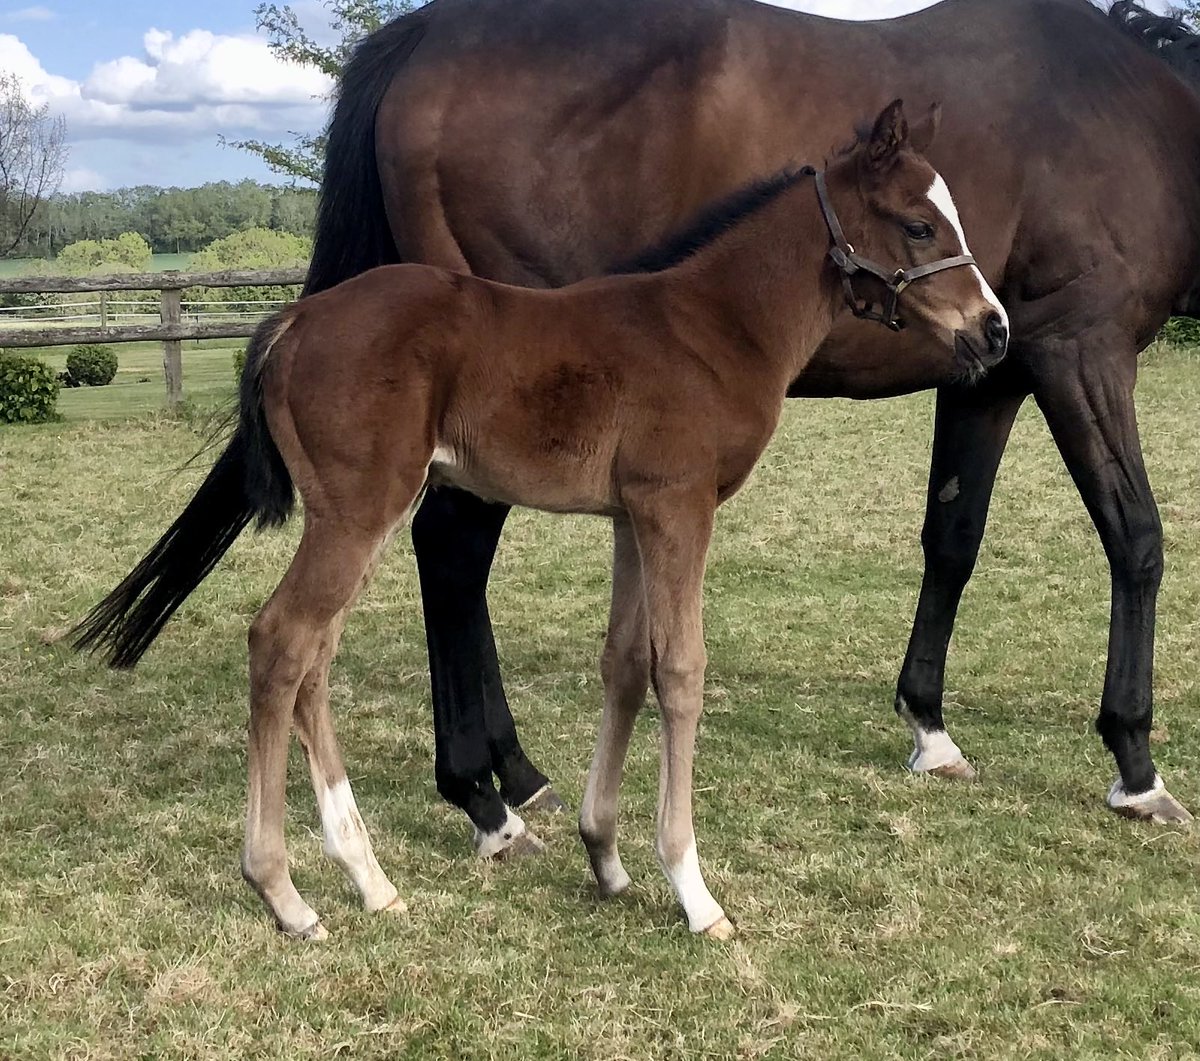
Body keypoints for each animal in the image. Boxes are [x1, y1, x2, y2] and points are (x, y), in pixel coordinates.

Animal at [74, 103, 1007, 938]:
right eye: (920, 225)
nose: (994, 329)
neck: (714, 324)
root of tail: (296, 319)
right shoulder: (678, 506)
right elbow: (681, 671)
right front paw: (694, 890)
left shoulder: (634, 514)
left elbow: (625, 664)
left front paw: (607, 857)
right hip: (359, 510)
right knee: (282, 641)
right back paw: (286, 893)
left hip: (354, 517)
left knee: (314, 657)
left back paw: (370, 880)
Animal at [271, 0, 1197, 856]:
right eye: (918, 224)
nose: (990, 319)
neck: (1134, 111)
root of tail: (424, 32)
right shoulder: (1078, 348)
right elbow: (1137, 538)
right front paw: (1136, 762)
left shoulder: (991, 377)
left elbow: (954, 539)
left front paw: (930, 728)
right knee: (453, 549)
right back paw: (483, 796)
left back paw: (511, 775)